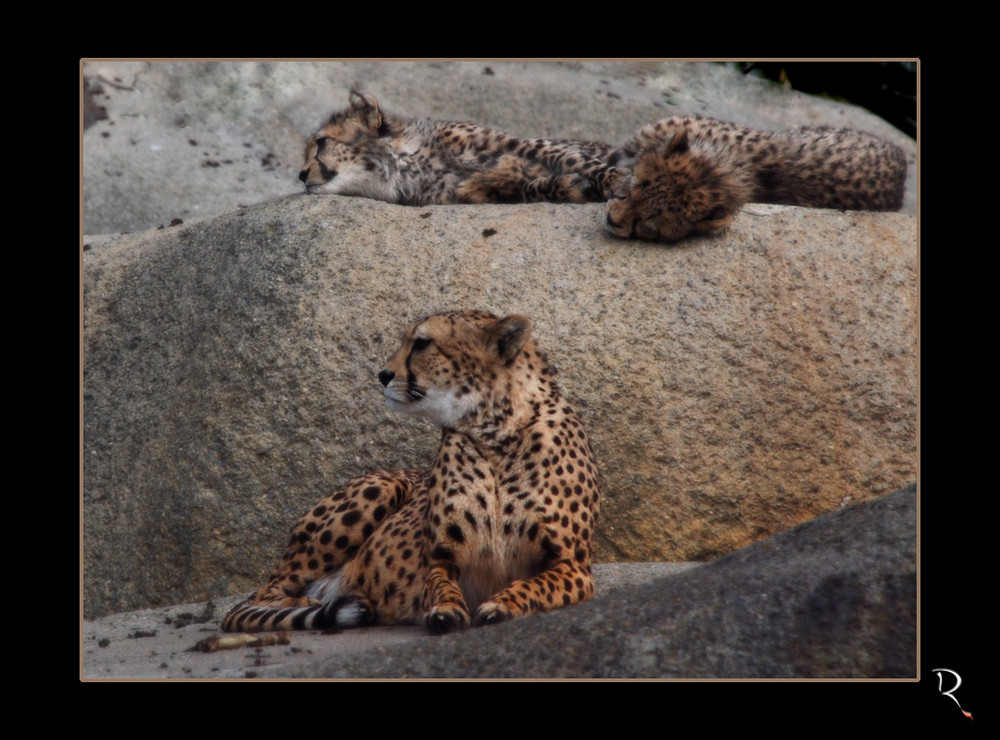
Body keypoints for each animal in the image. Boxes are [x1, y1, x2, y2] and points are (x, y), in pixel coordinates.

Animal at [223, 310, 600, 632]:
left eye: (422, 343)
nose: (382, 375)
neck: (495, 434)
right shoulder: (438, 560)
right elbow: (440, 587)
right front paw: (445, 610)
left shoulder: (574, 566)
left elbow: (535, 584)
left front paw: (503, 603)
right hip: (380, 487)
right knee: (261, 596)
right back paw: (318, 602)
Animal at [296, 91, 624, 205]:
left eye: (322, 143)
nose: (300, 175)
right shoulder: (476, 195)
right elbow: (528, 188)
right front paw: (568, 187)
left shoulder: (520, 143)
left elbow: (568, 157)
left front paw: (615, 180)